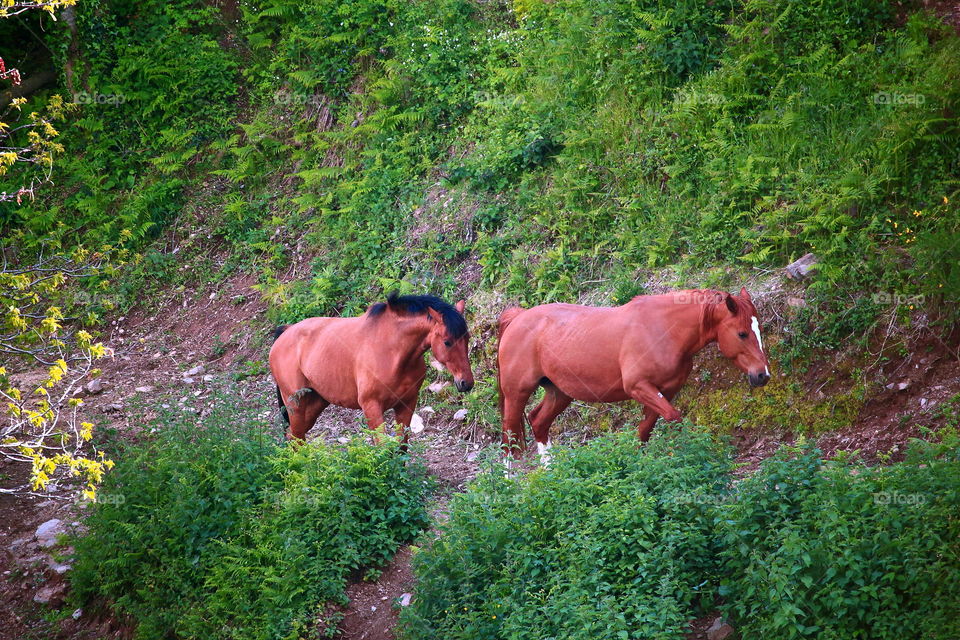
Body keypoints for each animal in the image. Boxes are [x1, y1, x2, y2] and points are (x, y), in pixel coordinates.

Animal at [270, 293, 474, 443]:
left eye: (467, 337)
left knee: (294, 436)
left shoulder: (406, 404)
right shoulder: (371, 407)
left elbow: (401, 445)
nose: (466, 382)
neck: (393, 352)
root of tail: (285, 332)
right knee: (296, 437)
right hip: (295, 404)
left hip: (316, 402)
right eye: (447, 342)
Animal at [496, 288, 770, 462]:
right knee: (509, 438)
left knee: (538, 422)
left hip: (559, 392)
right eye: (742, 333)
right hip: (516, 393)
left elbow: (645, 430)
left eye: (760, 330)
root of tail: (518, 317)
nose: (762, 375)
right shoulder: (639, 387)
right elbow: (674, 418)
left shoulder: (664, 392)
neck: (663, 330)